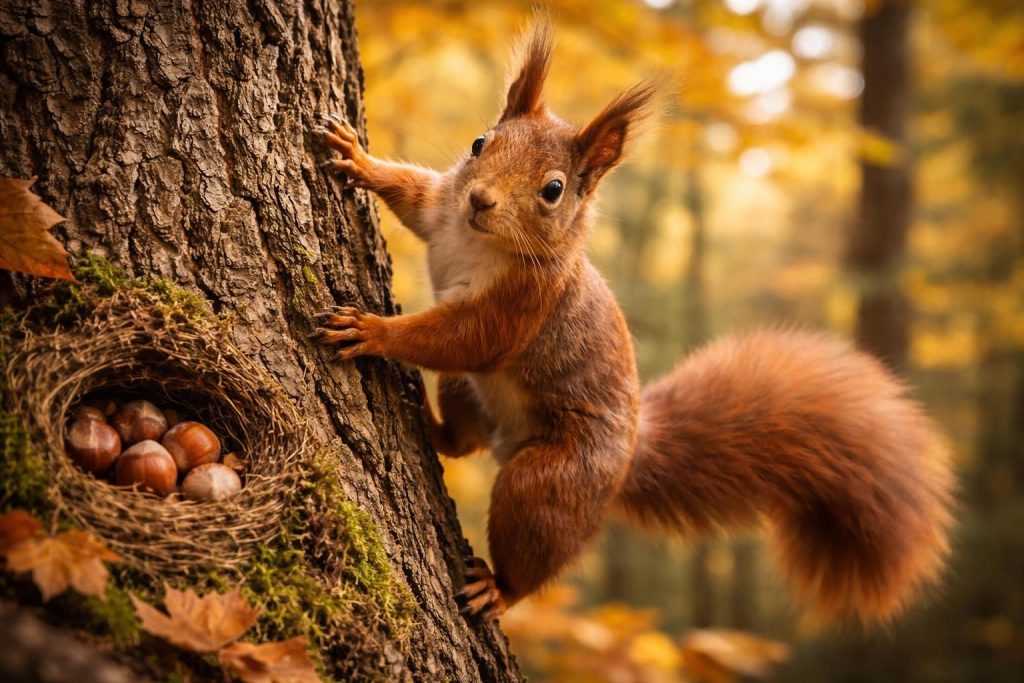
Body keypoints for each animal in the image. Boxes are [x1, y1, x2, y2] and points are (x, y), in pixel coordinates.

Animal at [311, 19, 954, 624]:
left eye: (553, 189)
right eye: (479, 142)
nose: (481, 200)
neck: (476, 240)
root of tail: (624, 465)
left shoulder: (525, 302)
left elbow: (466, 338)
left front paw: (371, 331)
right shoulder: (442, 210)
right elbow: (412, 194)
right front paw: (357, 159)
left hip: (553, 480)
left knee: (532, 541)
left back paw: (501, 588)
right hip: (470, 395)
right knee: (464, 441)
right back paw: (430, 421)